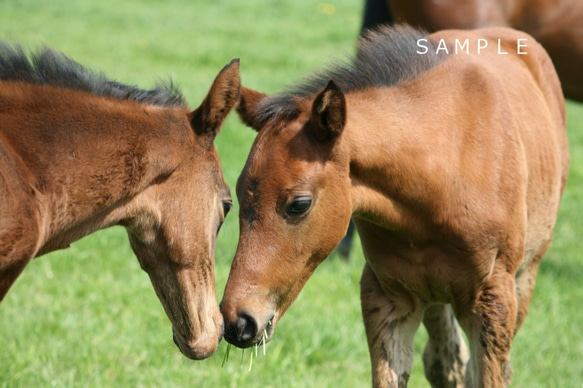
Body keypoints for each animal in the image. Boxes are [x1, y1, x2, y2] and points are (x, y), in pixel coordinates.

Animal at [222, 25, 572, 386]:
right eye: (237, 197)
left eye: (299, 204)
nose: (238, 321)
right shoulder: (386, 297)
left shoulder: (493, 297)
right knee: (445, 361)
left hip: (524, 274)